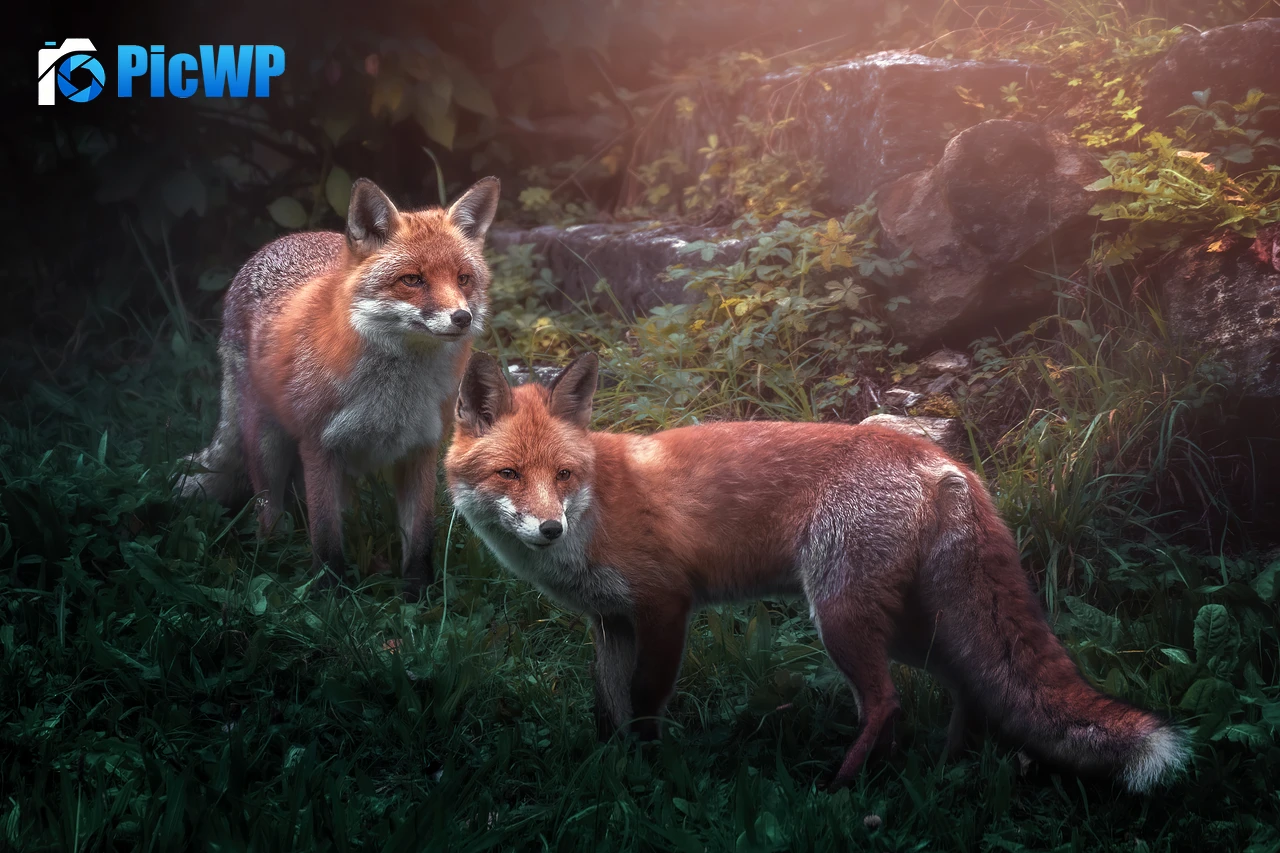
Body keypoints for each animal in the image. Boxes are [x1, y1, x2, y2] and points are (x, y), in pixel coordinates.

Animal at [177, 176, 501, 594]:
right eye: (413, 280)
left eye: (463, 279)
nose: (461, 317)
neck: (393, 398)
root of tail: (278, 242)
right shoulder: (319, 446)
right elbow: (326, 536)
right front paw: (327, 593)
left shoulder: (422, 449)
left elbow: (420, 537)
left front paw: (419, 595)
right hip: (268, 447)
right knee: (270, 512)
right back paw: (271, 557)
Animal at [444, 351, 1191, 792]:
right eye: (510, 474)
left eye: (564, 475)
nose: (549, 528)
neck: (596, 509)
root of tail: (944, 461)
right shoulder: (611, 621)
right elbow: (609, 709)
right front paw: (613, 771)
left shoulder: (664, 605)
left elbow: (647, 702)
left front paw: (647, 775)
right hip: (907, 621)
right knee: (965, 682)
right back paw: (947, 767)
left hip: (840, 614)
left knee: (887, 700)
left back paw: (840, 786)